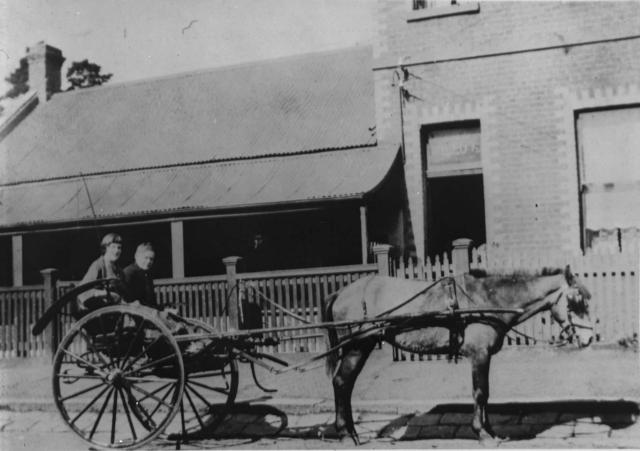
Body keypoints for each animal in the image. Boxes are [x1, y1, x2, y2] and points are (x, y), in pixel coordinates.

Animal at [324, 264, 596, 444]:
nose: (590, 338)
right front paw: (482, 433)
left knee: (344, 384)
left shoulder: (483, 356)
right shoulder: (479, 355)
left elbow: (485, 394)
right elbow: (480, 393)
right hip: (358, 345)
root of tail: (341, 292)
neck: (488, 299)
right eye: (576, 301)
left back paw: (350, 432)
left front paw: (490, 431)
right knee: (342, 382)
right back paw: (346, 434)